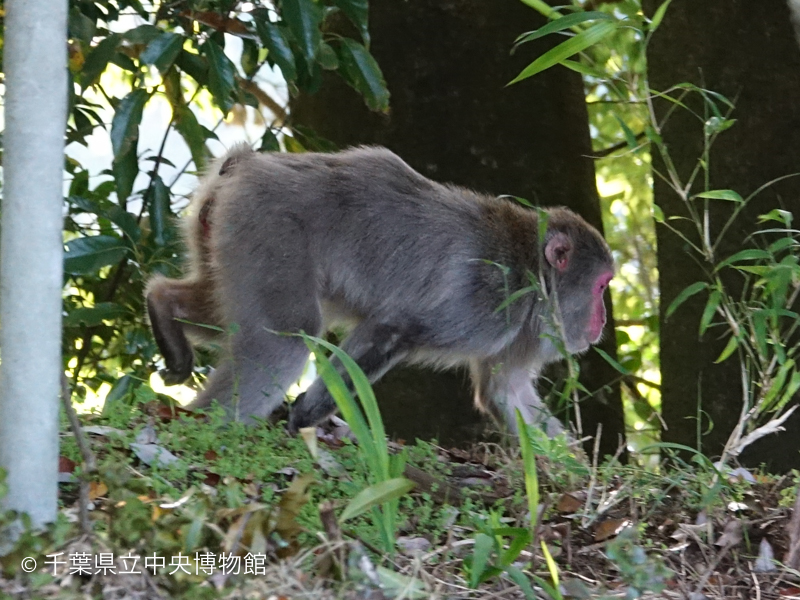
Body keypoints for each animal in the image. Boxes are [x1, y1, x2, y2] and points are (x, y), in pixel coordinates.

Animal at [147, 145, 616, 436]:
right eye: (601, 285)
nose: (603, 320)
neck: (530, 274)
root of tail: (246, 165)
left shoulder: (517, 332)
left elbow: (506, 393)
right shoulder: (483, 304)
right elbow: (393, 327)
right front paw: (307, 414)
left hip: (225, 229)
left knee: (222, 309)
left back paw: (163, 305)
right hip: (267, 223)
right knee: (283, 340)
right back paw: (210, 425)